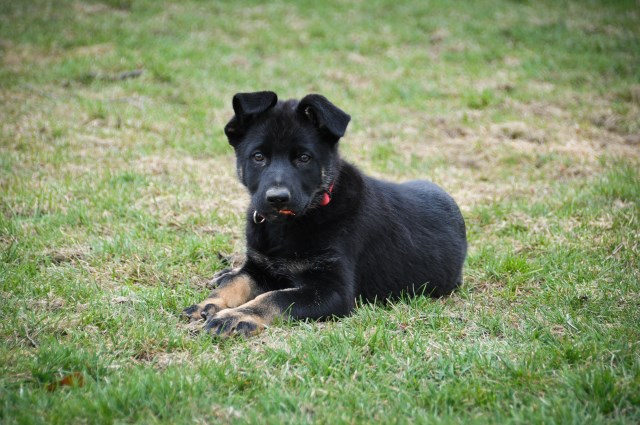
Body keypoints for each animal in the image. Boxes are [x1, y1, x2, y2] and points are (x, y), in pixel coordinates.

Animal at [182, 91, 468, 336]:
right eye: (258, 156)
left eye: (304, 158)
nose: (277, 198)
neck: (290, 223)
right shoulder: (259, 268)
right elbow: (237, 283)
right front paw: (209, 304)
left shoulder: (333, 291)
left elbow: (275, 297)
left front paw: (237, 316)